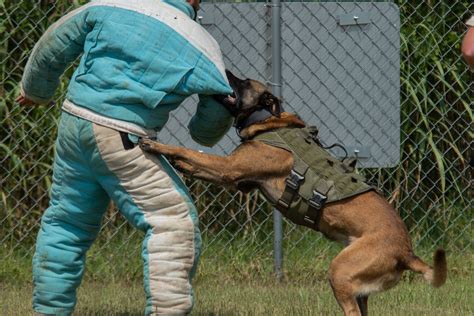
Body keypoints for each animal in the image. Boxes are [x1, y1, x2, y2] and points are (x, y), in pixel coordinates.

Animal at [139, 70, 446, 314]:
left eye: (242, 82)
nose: (223, 70)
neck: (268, 120)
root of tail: (406, 252)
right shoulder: (236, 178)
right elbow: (194, 162)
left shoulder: (229, 168)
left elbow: (188, 151)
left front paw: (156, 145)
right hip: (360, 287)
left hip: (340, 271)